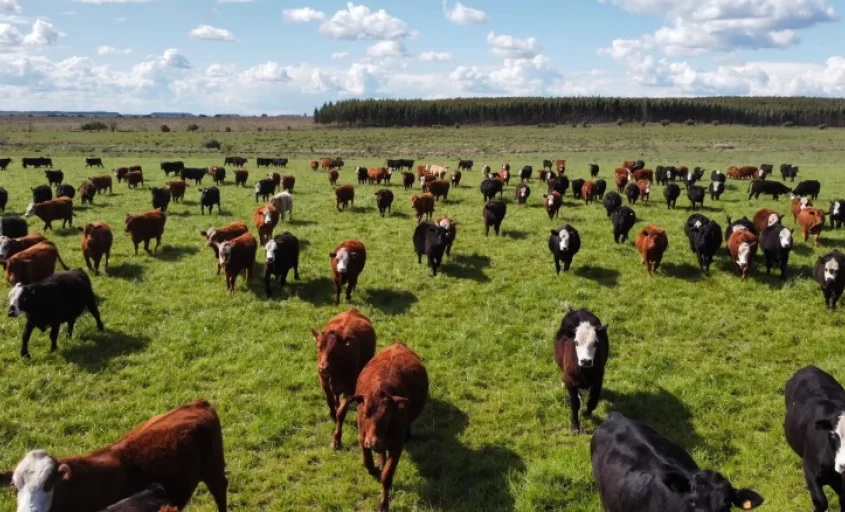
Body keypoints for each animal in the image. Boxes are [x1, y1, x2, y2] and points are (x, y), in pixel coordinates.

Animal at [331, 342, 428, 512]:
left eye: (388, 415)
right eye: (365, 414)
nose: (373, 442)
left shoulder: (397, 446)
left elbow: (387, 476)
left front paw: (383, 504)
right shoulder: (363, 437)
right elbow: (367, 462)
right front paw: (375, 469)